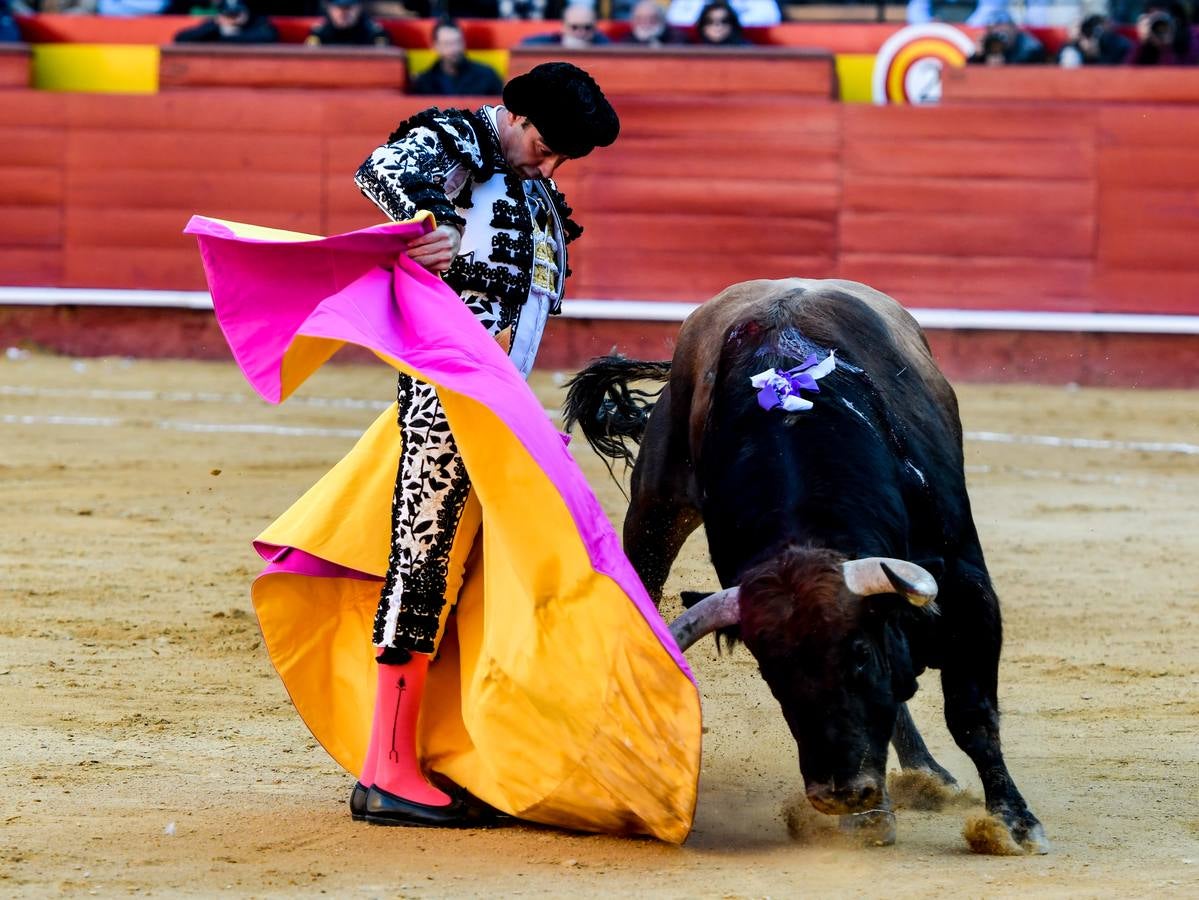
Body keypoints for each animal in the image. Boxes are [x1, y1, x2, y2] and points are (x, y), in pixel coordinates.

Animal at [565, 278, 1045, 853]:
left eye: (860, 655)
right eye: (772, 674)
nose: (840, 793)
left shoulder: (966, 584)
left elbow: (971, 714)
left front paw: (1014, 823)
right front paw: (870, 817)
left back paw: (928, 775)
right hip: (655, 507)